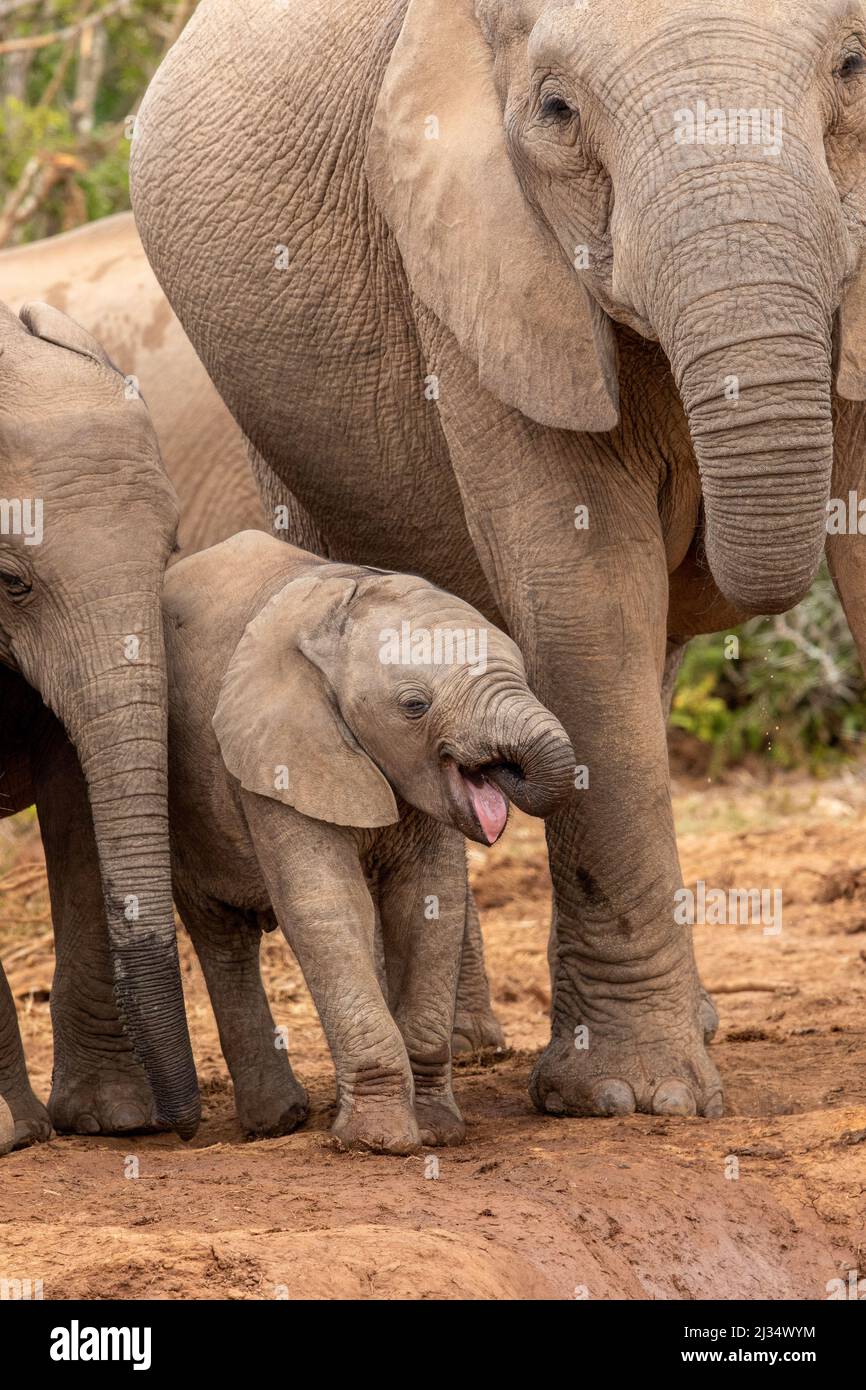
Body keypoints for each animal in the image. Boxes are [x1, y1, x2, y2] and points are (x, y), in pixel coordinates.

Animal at [164, 530, 575, 1150]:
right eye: (414, 706)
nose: (506, 767)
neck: (344, 600)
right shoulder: (276, 753)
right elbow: (327, 906)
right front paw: (376, 1143)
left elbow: (429, 903)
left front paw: (437, 1133)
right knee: (222, 934)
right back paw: (275, 1122)